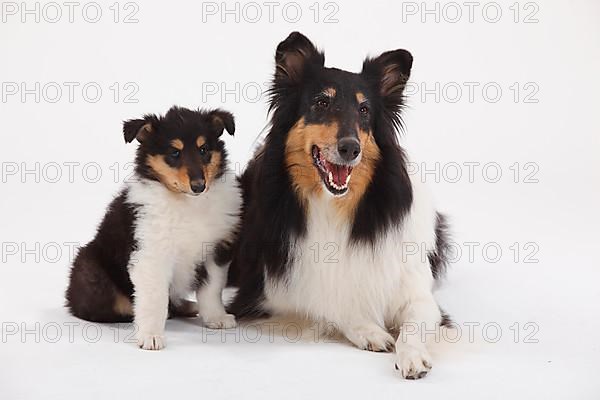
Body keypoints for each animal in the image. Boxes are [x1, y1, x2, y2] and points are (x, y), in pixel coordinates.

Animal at [67, 106, 240, 350]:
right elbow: (154, 298)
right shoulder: (151, 254)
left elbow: (212, 289)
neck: (187, 203)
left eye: (203, 149)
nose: (199, 186)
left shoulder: (215, 251)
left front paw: (217, 318)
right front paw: (151, 336)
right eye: (174, 153)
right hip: (90, 271)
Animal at [230, 33, 450, 378]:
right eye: (322, 102)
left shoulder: (418, 294)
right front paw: (370, 330)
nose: (350, 148)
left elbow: (414, 325)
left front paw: (412, 356)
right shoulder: (268, 292)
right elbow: (329, 302)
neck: (334, 206)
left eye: (364, 110)